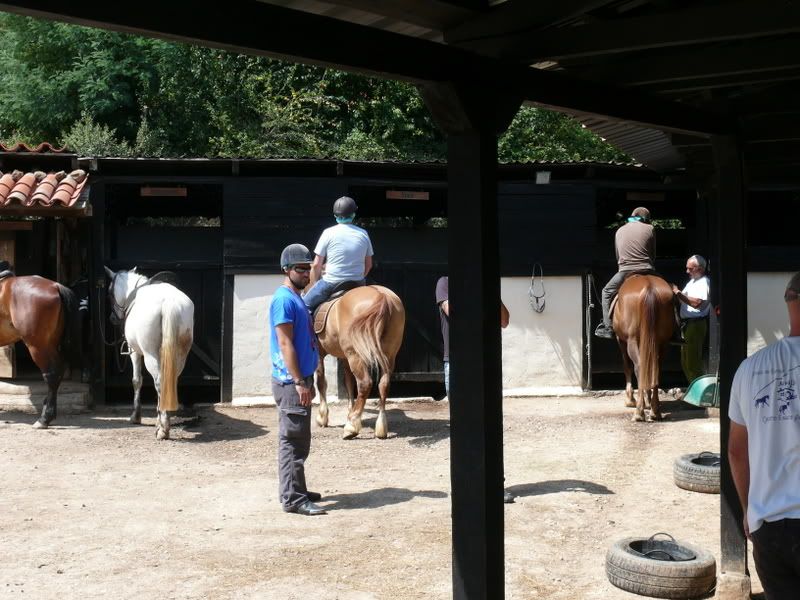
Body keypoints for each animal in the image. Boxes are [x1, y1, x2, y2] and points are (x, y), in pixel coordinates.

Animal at [105, 268, 195, 440]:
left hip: (150, 355)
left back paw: (163, 429)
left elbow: (136, 381)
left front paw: (136, 416)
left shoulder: (134, 352)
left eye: (109, 293)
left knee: (159, 382)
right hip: (180, 356)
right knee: (170, 380)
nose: (112, 318)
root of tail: (168, 303)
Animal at [316, 284, 406, 438]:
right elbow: (348, 383)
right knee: (384, 385)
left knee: (365, 384)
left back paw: (351, 426)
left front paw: (323, 417)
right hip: (389, 355)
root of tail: (382, 296)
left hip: (356, 356)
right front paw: (349, 411)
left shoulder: (318, 353)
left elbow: (321, 382)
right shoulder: (344, 358)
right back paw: (380, 427)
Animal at [612, 276, 676, 422]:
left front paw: (630, 399)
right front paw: (648, 399)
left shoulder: (621, 340)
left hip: (632, 341)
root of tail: (649, 286)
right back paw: (655, 411)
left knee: (639, 367)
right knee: (655, 369)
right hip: (661, 343)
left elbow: (627, 366)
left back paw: (639, 412)